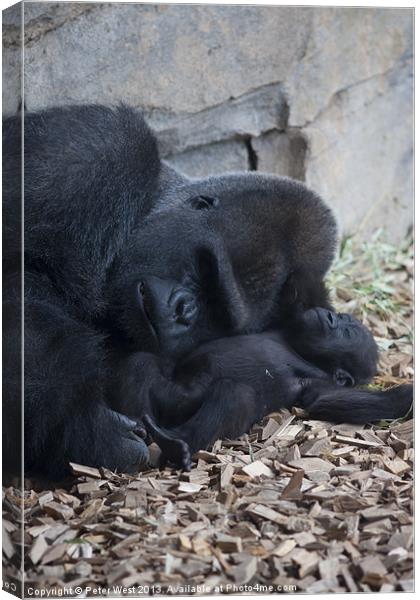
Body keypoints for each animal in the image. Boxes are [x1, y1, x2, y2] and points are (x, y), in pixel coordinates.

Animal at [143, 310, 412, 468]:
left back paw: (177, 444)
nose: (330, 315)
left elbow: (324, 400)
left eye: (346, 332)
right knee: (142, 364)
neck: (300, 349)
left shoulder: (319, 382)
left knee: (235, 395)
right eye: (340, 317)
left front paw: (404, 397)